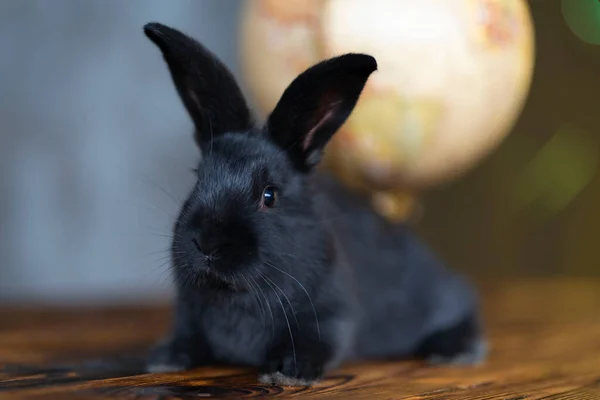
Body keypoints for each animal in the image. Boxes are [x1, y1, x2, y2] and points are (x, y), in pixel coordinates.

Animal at [143, 22, 486, 388]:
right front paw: (164, 358)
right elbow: (187, 338)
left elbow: (316, 343)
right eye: (199, 178)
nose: (207, 243)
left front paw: (288, 371)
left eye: (269, 195)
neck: (236, 295)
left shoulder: (331, 315)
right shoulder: (188, 314)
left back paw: (456, 350)